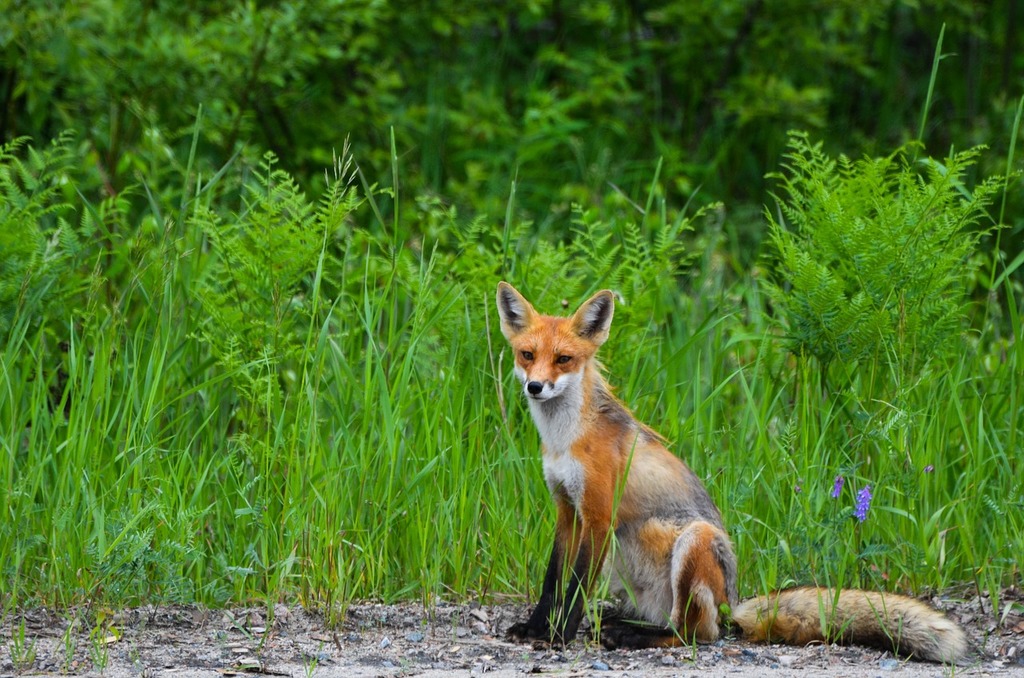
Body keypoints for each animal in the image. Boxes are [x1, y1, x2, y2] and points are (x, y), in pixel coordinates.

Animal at [495, 281, 968, 663]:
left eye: (564, 359)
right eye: (527, 355)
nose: (534, 386)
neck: (564, 439)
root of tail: (734, 602)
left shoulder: (597, 515)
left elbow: (574, 589)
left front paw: (559, 637)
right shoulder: (566, 509)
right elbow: (551, 580)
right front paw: (536, 628)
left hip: (695, 540)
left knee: (697, 633)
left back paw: (631, 637)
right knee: (678, 623)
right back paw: (624, 626)